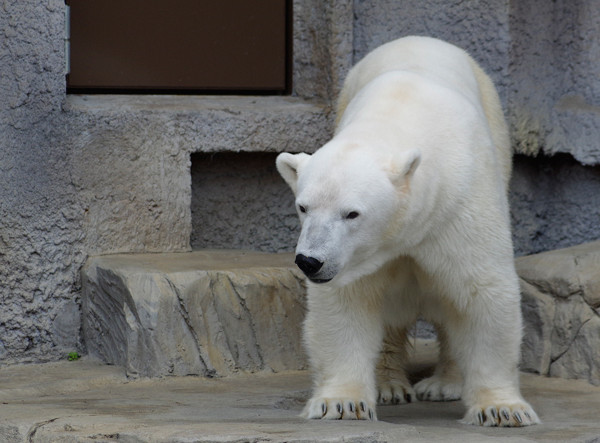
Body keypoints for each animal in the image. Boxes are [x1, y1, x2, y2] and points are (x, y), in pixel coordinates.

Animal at [276, 37, 540, 426]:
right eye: (303, 207)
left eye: (352, 213)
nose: (310, 261)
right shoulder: (355, 258)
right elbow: (347, 302)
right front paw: (341, 403)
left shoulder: (460, 202)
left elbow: (481, 290)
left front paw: (502, 409)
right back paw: (389, 386)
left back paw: (445, 384)